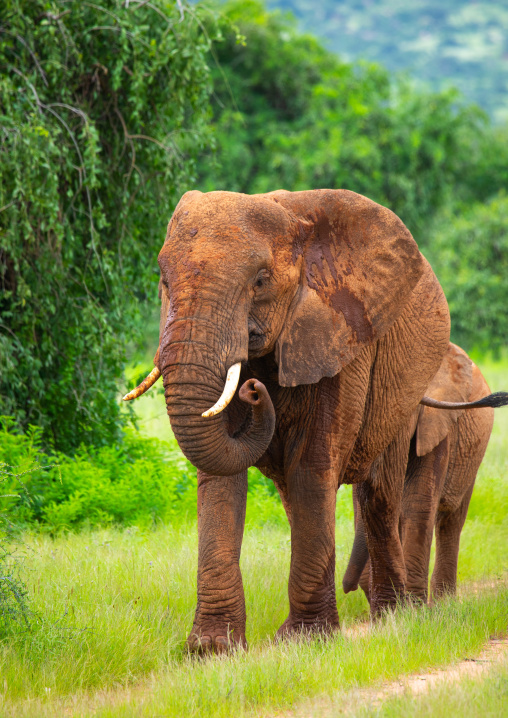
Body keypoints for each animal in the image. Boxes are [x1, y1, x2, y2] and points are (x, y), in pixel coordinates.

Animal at [342, 342, 500, 604]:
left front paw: (413, 605)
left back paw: (443, 604)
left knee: (450, 520)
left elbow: (417, 502)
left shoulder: (437, 425)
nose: (347, 588)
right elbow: (366, 504)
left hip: (472, 457)